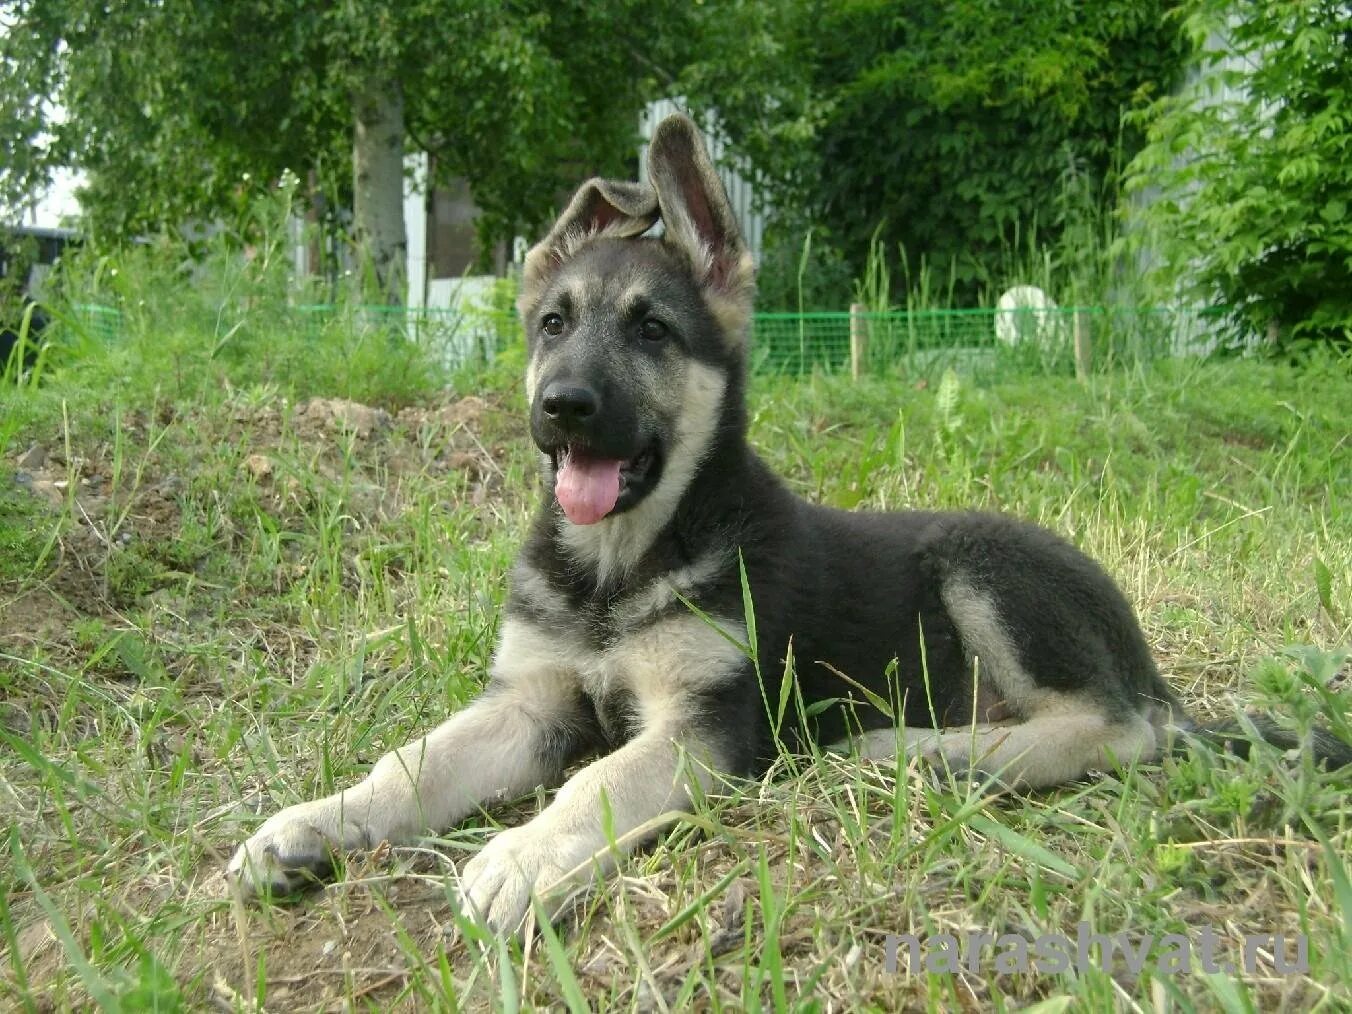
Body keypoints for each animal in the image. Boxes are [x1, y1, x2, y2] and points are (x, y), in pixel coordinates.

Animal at [227, 114, 1346, 935]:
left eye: (651, 329)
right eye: (552, 324)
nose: (563, 407)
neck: (617, 568)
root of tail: (1145, 656)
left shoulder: (709, 725)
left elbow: (597, 784)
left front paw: (519, 858)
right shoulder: (532, 701)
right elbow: (411, 762)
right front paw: (309, 826)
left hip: (984, 565)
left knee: (1120, 729)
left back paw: (916, 752)